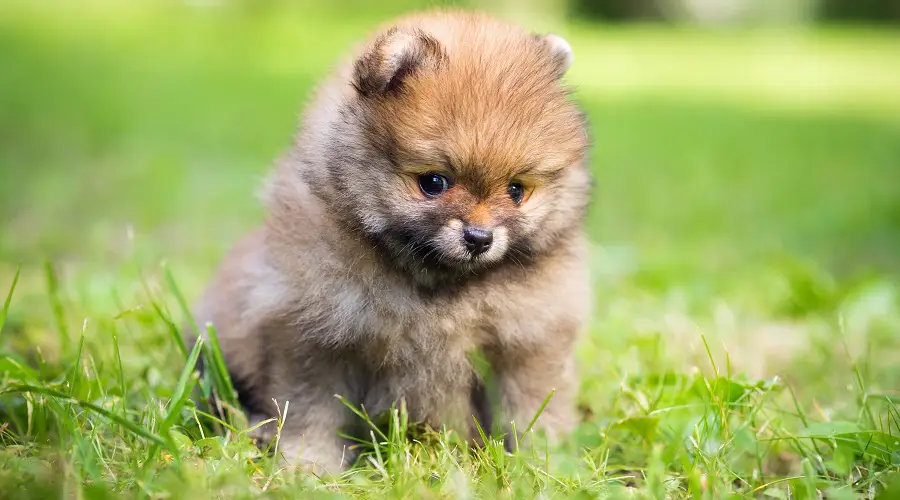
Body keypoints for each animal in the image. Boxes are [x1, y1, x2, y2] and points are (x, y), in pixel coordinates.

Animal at [189, 9, 596, 474]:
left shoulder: (528, 342)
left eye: (516, 191)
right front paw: (310, 465)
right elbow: (312, 409)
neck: (437, 289)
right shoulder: (314, 335)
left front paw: (542, 463)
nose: (479, 237)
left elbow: (532, 408)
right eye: (433, 183)